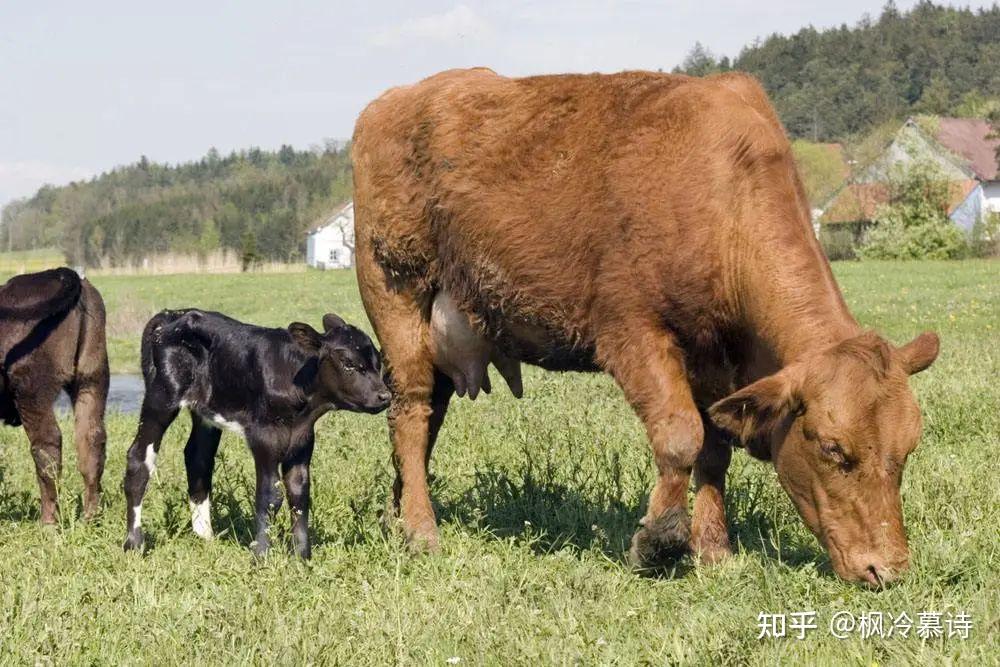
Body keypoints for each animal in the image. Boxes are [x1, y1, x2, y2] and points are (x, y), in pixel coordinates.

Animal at [0, 268, 110, 524]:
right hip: (92, 378)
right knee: (91, 440)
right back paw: (90, 517)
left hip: (31, 390)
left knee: (47, 445)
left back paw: (49, 522)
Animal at [122, 310, 390, 560]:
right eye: (348, 362)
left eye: (378, 362)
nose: (384, 396)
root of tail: (172, 314)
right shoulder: (264, 438)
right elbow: (270, 496)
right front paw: (261, 555)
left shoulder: (302, 442)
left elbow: (299, 494)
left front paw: (302, 557)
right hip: (162, 395)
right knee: (139, 458)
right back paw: (134, 543)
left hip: (204, 413)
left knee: (198, 458)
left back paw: (206, 538)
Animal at [356, 68, 940, 588]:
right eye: (833, 449)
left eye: (908, 450)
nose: (886, 569)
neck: (724, 198)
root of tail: (392, 100)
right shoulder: (632, 333)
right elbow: (682, 436)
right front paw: (659, 542)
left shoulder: (710, 358)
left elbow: (714, 449)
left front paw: (714, 550)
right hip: (397, 293)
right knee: (411, 412)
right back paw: (421, 529)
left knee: (428, 418)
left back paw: (398, 513)